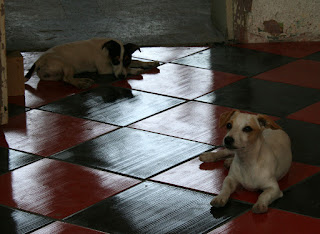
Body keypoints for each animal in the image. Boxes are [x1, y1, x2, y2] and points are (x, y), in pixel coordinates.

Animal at [25, 38, 160, 89]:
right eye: (115, 60)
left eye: (127, 60)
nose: (122, 77)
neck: (107, 52)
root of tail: (38, 61)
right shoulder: (104, 69)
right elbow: (129, 68)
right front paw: (135, 70)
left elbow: (136, 61)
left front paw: (150, 64)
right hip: (66, 65)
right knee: (67, 78)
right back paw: (81, 82)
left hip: (52, 75)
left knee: (63, 79)